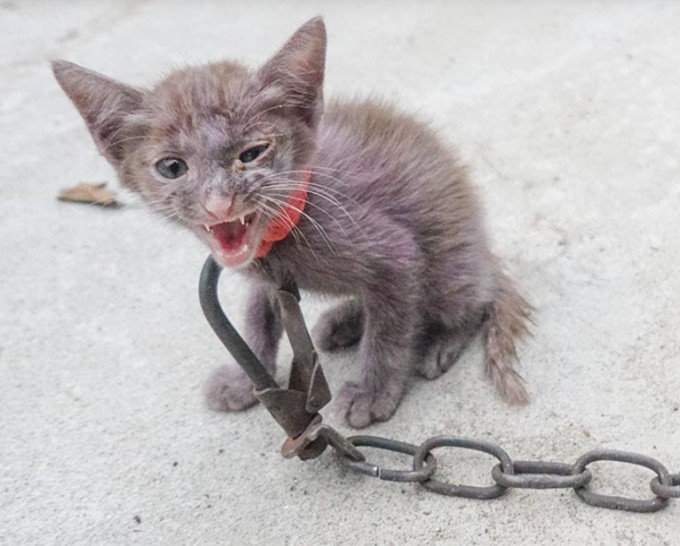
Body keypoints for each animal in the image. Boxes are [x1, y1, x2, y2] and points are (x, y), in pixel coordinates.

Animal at [53, 17, 532, 428]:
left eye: (251, 153)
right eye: (172, 167)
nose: (218, 202)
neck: (287, 229)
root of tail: (485, 251)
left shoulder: (395, 252)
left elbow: (390, 331)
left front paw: (372, 391)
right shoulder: (266, 279)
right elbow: (255, 321)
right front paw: (247, 378)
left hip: (450, 271)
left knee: (468, 303)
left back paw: (438, 343)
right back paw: (345, 320)